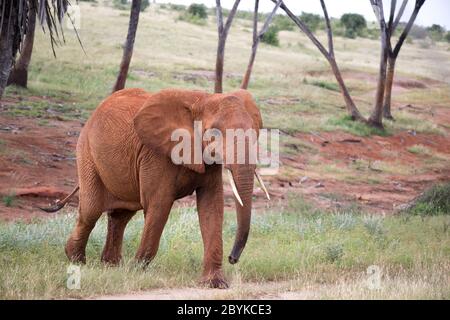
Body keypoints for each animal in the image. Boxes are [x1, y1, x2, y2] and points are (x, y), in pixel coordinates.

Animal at [40, 87, 268, 288]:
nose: (232, 258)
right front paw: (135, 271)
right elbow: (159, 205)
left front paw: (215, 284)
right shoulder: (156, 155)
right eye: (215, 134)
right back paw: (77, 261)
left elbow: (211, 207)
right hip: (87, 152)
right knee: (91, 211)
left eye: (256, 133)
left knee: (120, 216)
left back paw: (111, 266)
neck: (204, 99)